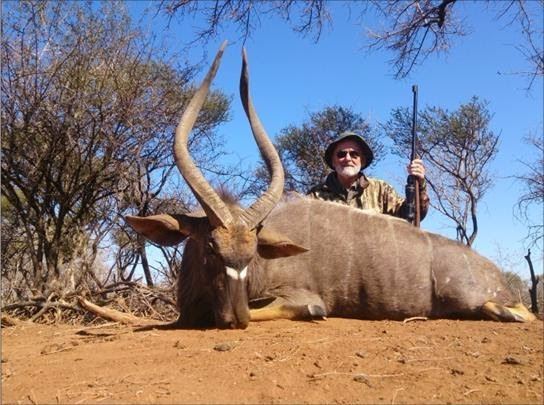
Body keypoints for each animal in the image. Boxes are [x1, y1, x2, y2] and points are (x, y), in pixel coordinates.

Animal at [126, 42, 536, 329]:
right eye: (211, 247)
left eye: (253, 251)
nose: (235, 317)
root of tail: (498, 277)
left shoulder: (302, 300)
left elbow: (303, 308)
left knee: (522, 313)